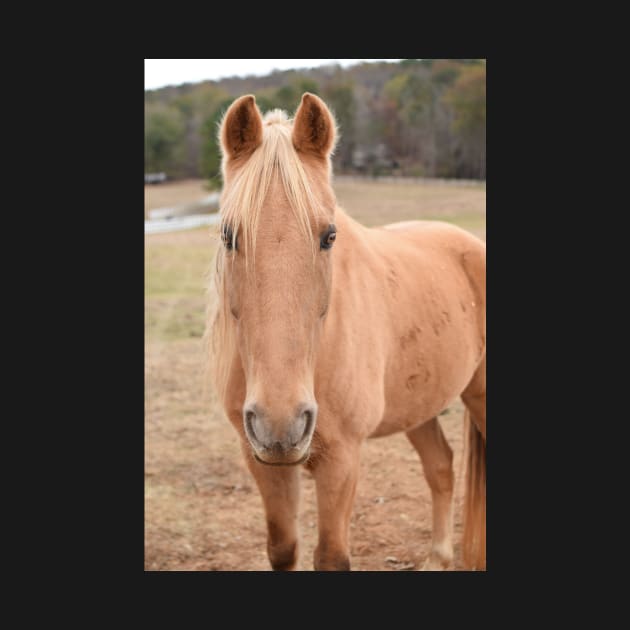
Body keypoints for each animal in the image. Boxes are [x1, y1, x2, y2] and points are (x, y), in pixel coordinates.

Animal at [209, 92, 488, 572]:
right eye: (228, 236)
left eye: (329, 236)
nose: (281, 421)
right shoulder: (260, 456)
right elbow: (283, 549)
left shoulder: (342, 458)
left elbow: (332, 557)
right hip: (419, 406)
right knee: (441, 467)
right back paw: (437, 557)